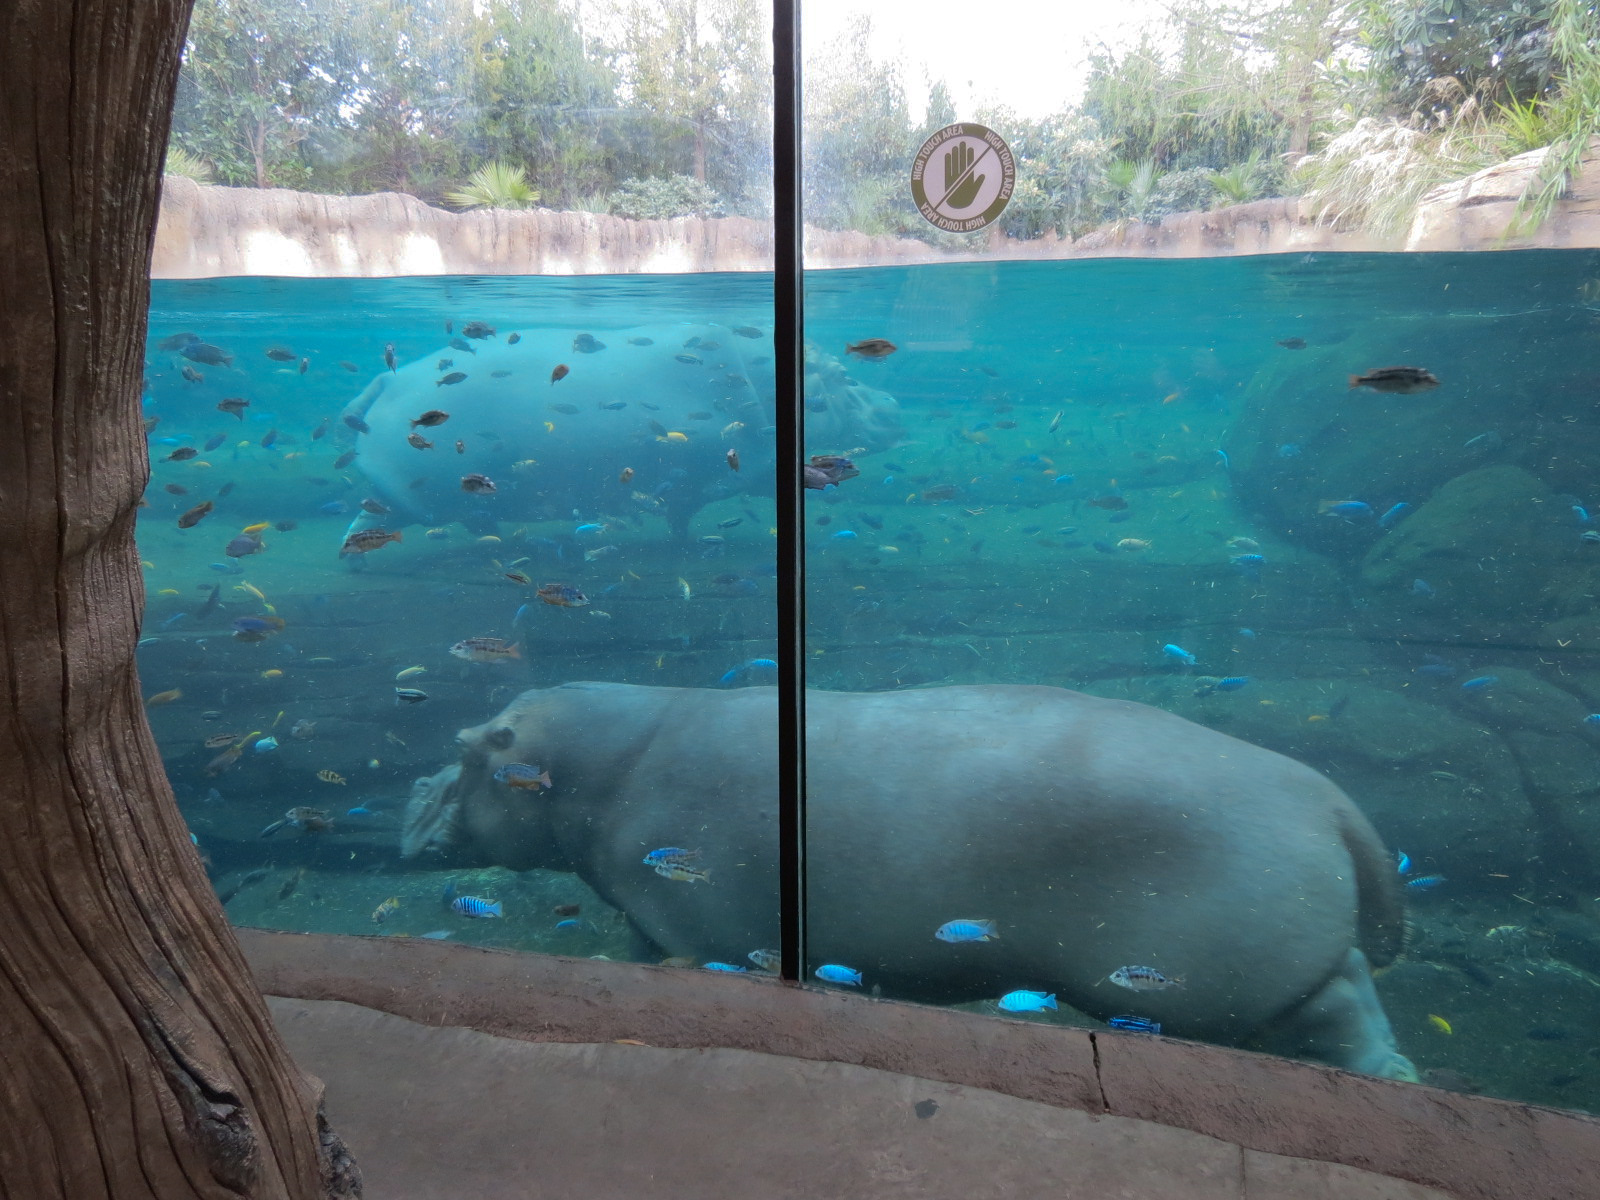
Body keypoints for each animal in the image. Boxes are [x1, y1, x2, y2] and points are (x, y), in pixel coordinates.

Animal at [335, 323, 901, 547]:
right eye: (845, 376)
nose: (895, 404)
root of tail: (387, 379)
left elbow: (683, 510)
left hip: (396, 495)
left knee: (369, 513)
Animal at [401, 681, 1417, 1080]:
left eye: (474, 745)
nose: (407, 795)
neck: (600, 764)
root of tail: (1326, 793)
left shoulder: (694, 923)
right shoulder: (657, 919)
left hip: (1213, 984)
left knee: (1330, 1010)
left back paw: (1387, 1076)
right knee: (1353, 987)